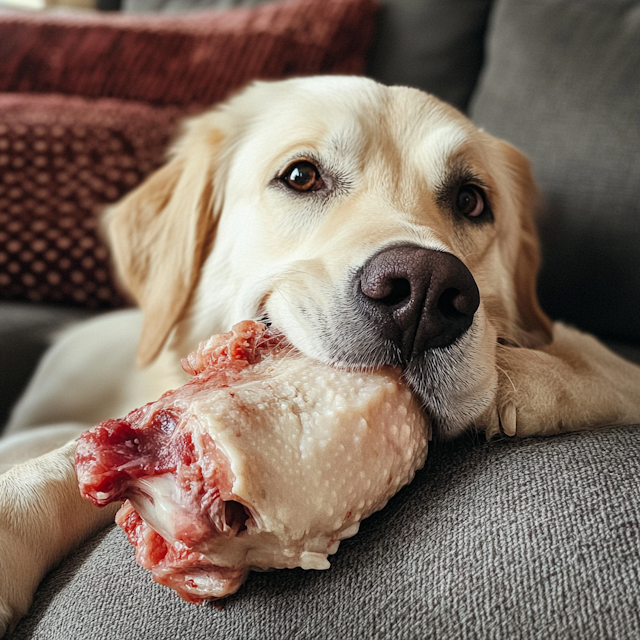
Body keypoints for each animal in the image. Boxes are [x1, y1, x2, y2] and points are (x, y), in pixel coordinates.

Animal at [1, 76, 640, 636]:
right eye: (301, 175)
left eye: (470, 200)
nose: (426, 291)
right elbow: (67, 457)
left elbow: (592, 361)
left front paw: (519, 376)